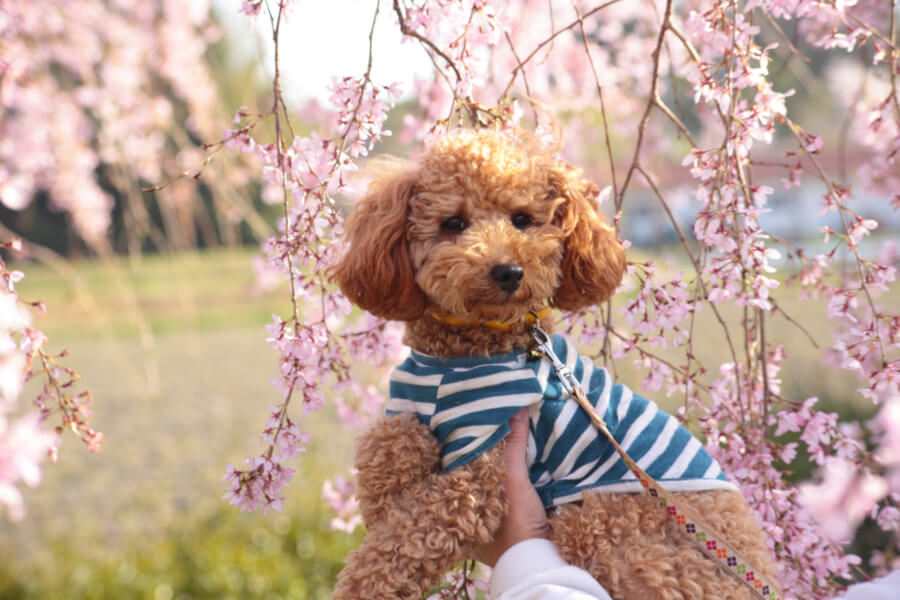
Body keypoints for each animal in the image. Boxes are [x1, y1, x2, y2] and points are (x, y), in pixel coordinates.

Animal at [326, 131, 776, 600]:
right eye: (453, 223)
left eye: (522, 219)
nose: (508, 271)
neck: (466, 351)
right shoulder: (409, 413)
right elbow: (386, 447)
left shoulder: (477, 469)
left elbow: (397, 547)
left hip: (602, 525)